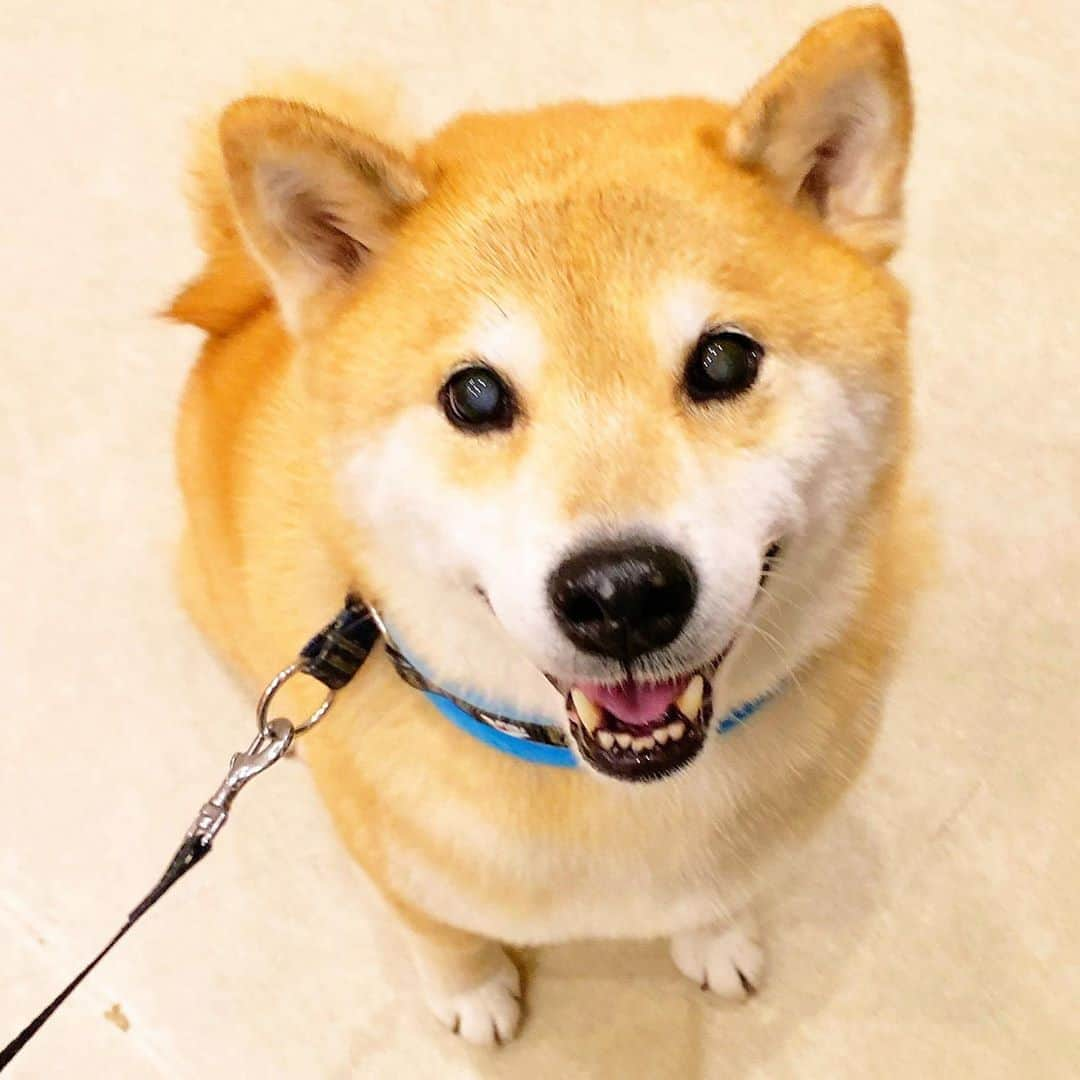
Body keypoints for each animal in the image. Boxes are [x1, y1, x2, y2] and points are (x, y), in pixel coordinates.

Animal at [172, 6, 924, 1045]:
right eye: (476, 394)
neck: (601, 787)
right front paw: (474, 995)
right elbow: (440, 932)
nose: (622, 594)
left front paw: (718, 938)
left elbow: (723, 890)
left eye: (725, 361)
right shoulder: (388, 854)